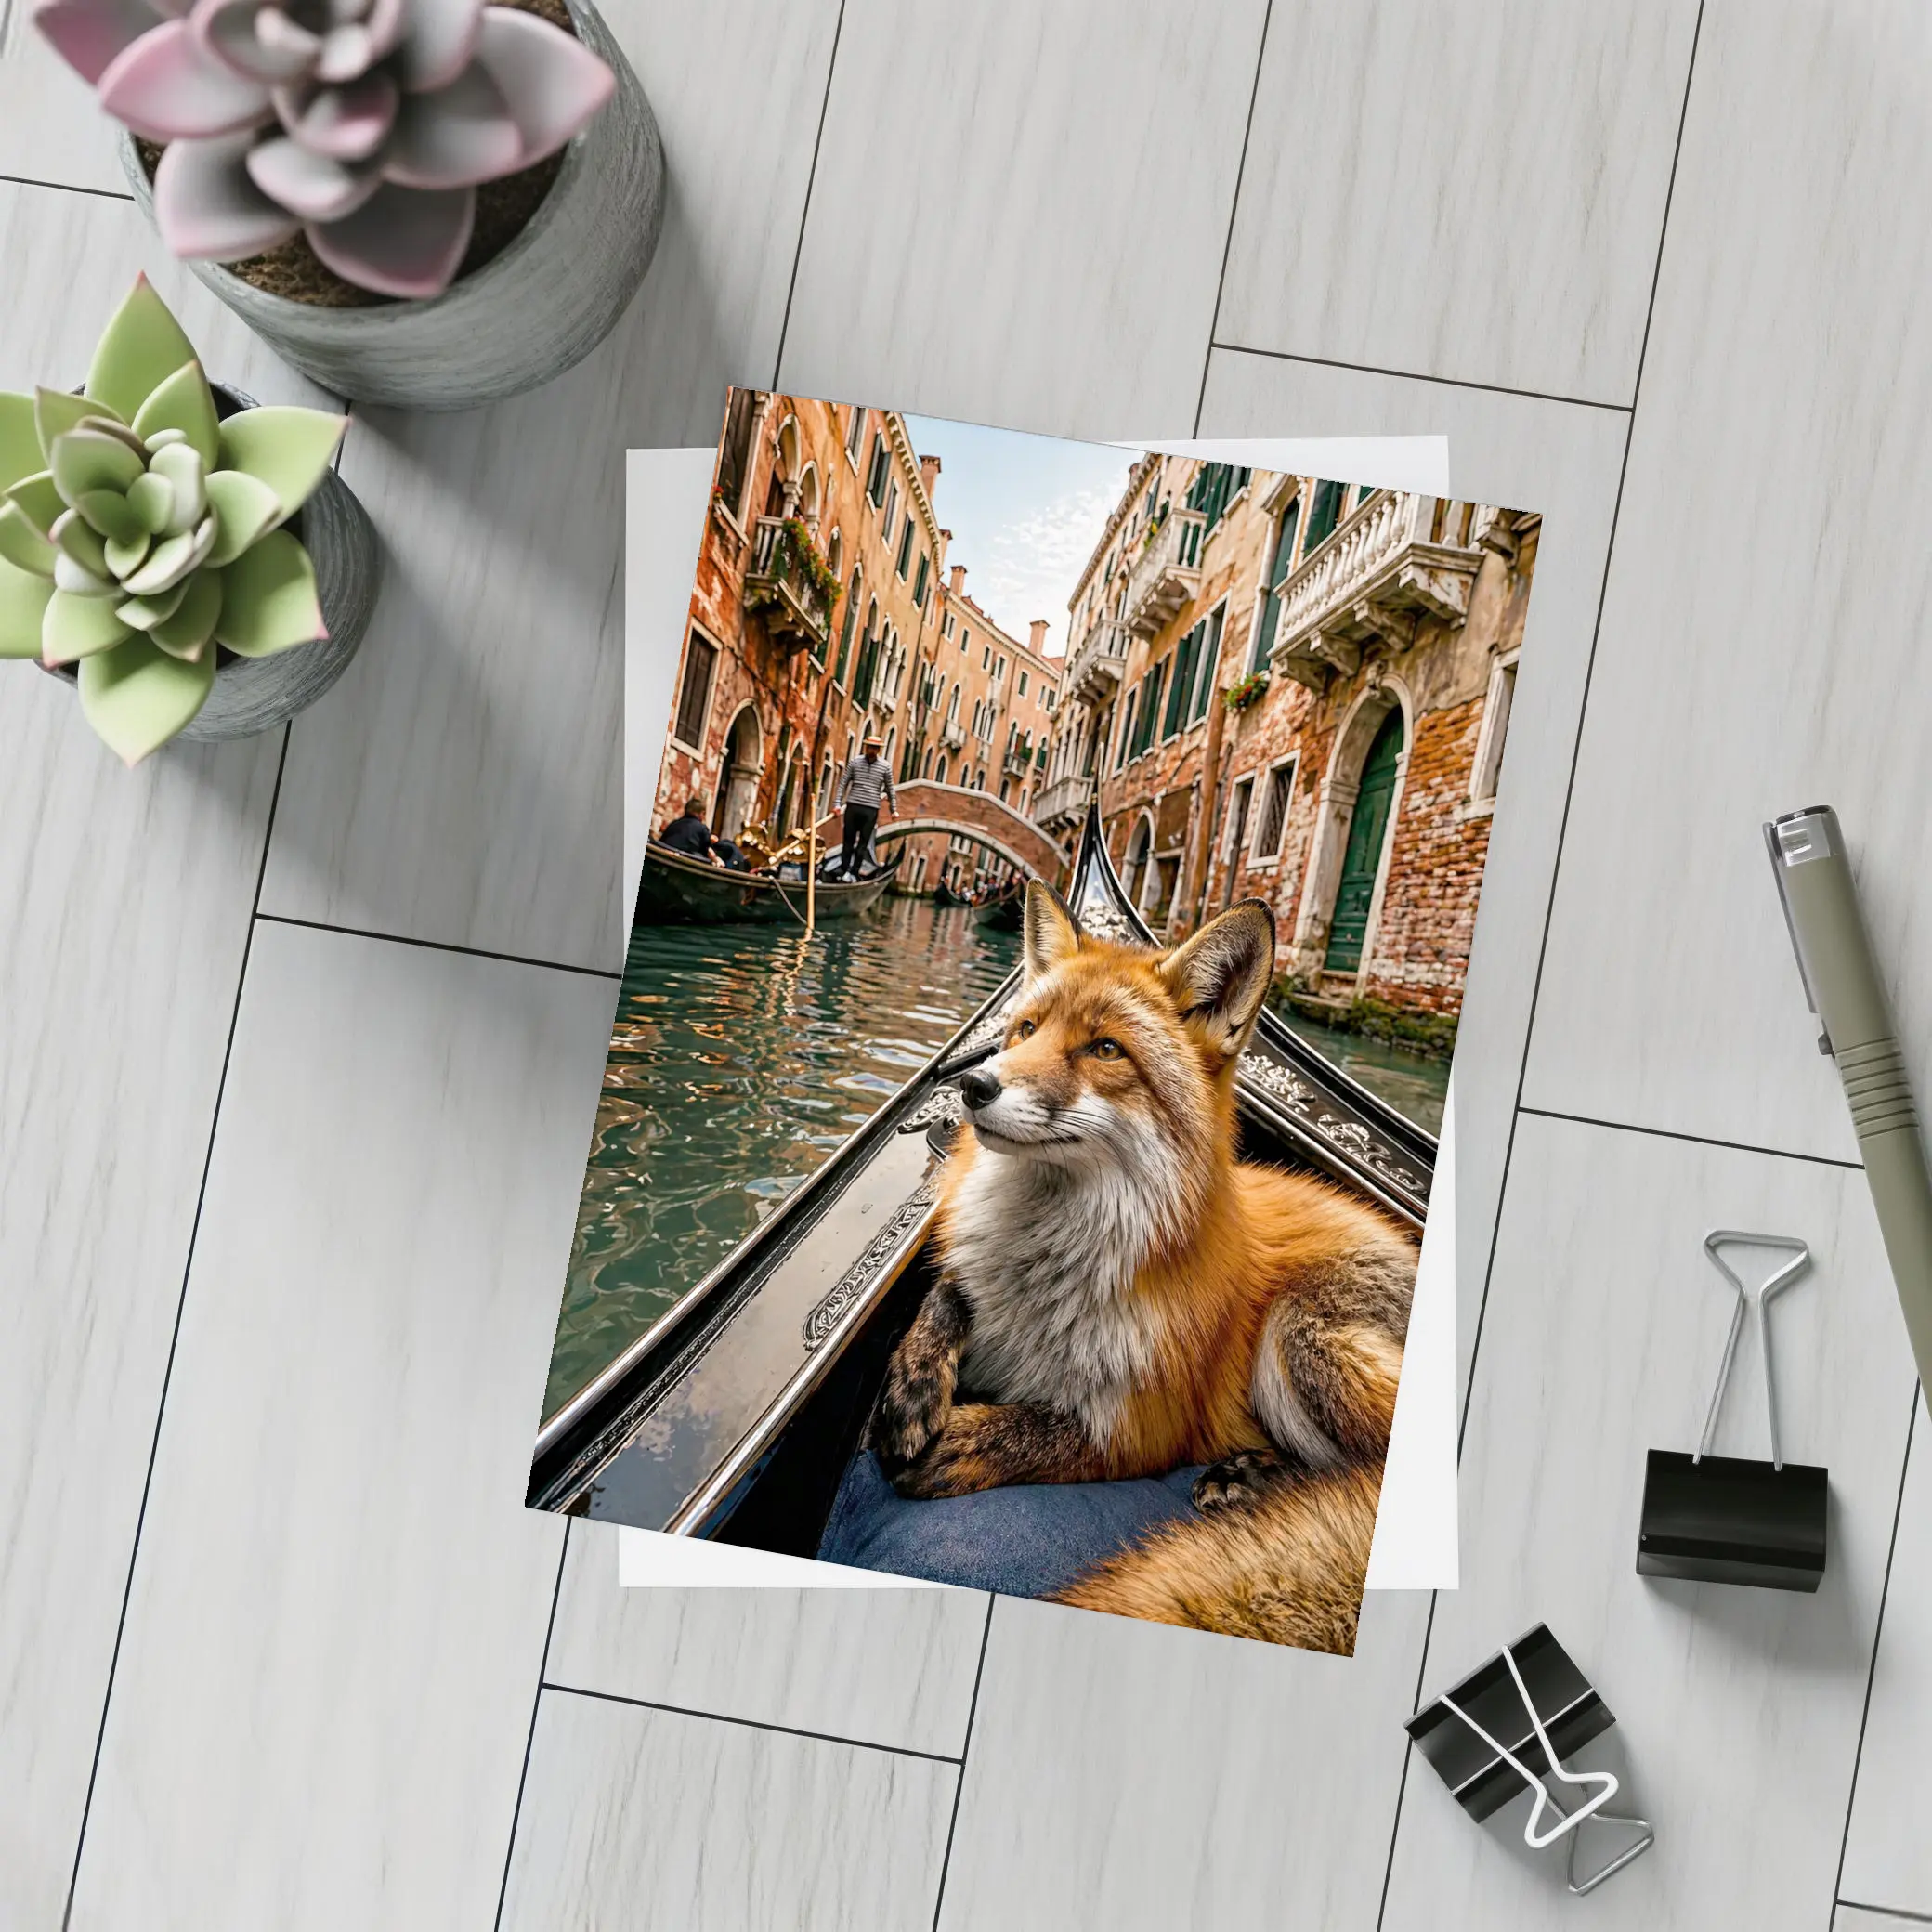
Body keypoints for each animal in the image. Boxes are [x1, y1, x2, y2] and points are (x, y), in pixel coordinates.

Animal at [870, 879, 1417, 1654]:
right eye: (1025, 1030)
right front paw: (912, 1387)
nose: (972, 1085)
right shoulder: (974, 1275)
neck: (1046, 1266)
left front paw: (961, 1442)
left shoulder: (1142, 1427)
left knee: (1370, 1477)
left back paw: (1256, 1480)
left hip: (1301, 1339)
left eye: (1105, 1048)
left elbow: (1037, 1431)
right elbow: (949, 1293)